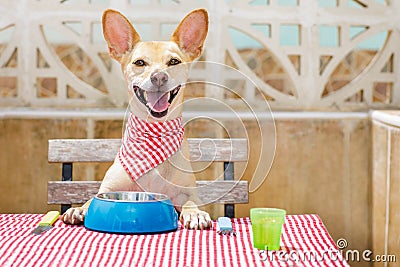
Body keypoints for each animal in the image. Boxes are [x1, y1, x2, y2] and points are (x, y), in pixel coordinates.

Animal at [62, 8, 212, 230]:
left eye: (173, 62)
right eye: (140, 62)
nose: (159, 77)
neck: (153, 133)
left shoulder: (187, 192)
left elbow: (191, 201)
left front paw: (195, 213)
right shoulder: (107, 189)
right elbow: (91, 199)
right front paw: (79, 208)